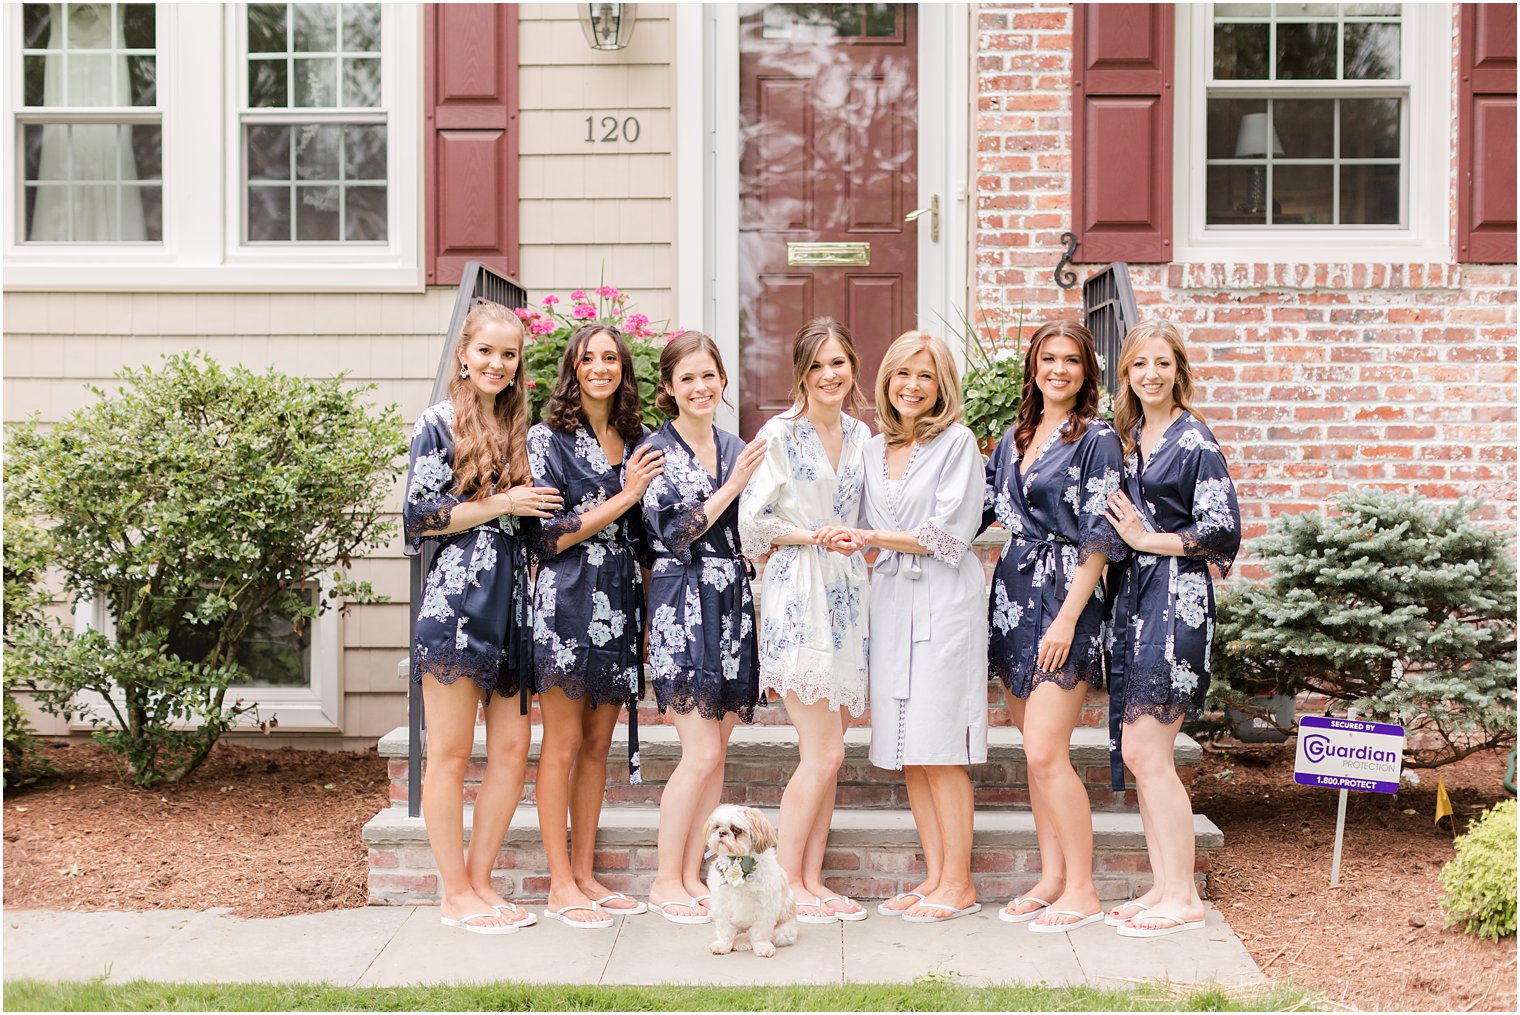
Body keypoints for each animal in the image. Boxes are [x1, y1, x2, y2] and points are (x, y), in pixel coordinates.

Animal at [699, 802, 796, 960]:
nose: (722, 832)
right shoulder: (722, 903)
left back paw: (742, 940)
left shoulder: (765, 906)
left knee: (755, 934)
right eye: (717, 826)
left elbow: (760, 932)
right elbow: (725, 929)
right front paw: (723, 945)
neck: (739, 860)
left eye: (735, 830)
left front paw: (762, 947)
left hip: (783, 932)